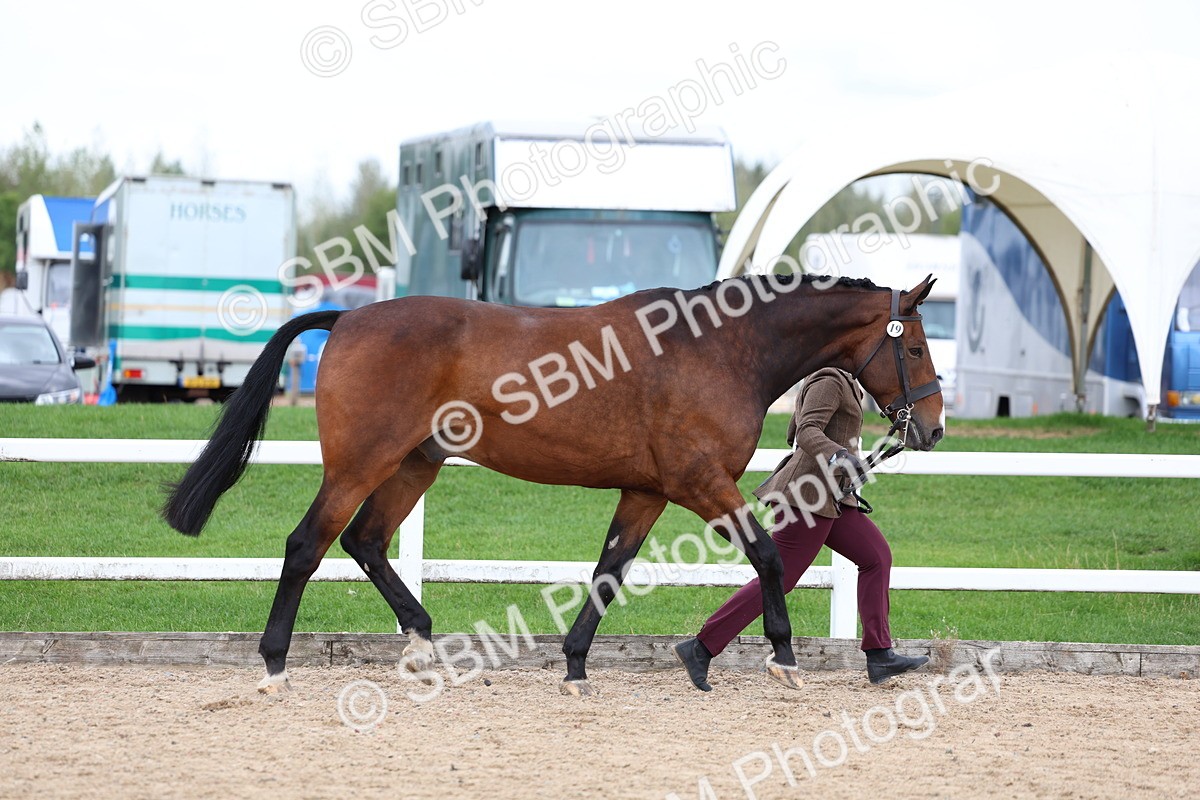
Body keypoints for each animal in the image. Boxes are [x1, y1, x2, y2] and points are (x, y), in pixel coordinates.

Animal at [163, 272, 944, 696]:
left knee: (367, 542)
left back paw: (422, 643)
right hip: (360, 464)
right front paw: (783, 658)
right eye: (912, 346)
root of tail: (349, 315)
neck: (720, 349)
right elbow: (769, 558)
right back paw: (275, 665)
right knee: (307, 545)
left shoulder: (647, 492)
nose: (932, 428)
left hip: (416, 463)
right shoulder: (700, 481)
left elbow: (608, 572)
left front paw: (575, 666)